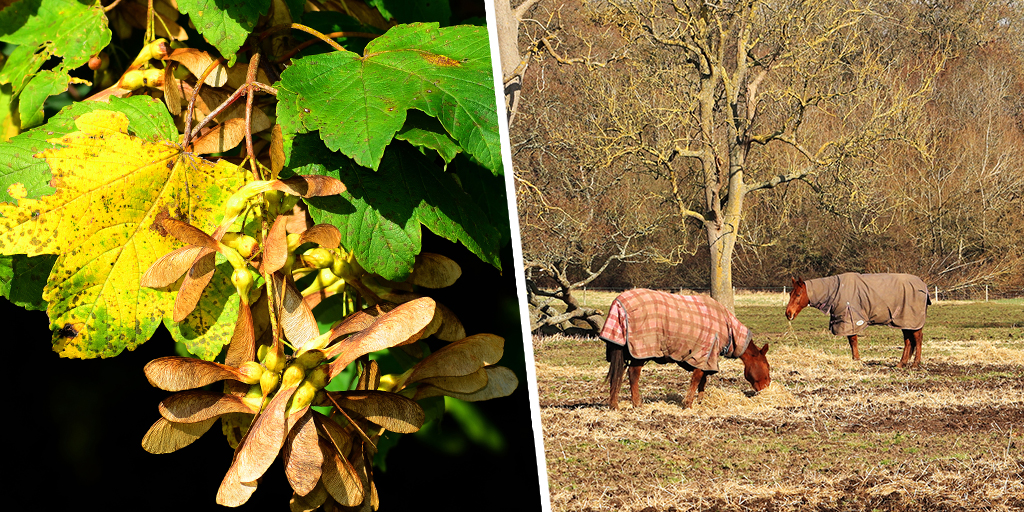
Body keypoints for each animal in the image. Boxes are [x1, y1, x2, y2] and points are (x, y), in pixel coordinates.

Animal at [598, 290, 770, 409]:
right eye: (767, 367)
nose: (767, 387)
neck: (727, 327)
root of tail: (618, 305)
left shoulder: (706, 358)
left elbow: (703, 380)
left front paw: (699, 400)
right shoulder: (705, 353)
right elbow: (697, 378)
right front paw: (688, 403)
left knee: (617, 375)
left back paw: (614, 405)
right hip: (639, 352)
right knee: (633, 376)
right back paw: (637, 403)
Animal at [786, 274, 933, 370]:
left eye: (798, 294)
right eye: (790, 294)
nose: (788, 313)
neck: (835, 290)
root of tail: (923, 286)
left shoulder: (851, 319)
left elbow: (853, 341)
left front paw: (856, 359)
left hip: (913, 321)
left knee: (917, 339)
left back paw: (915, 364)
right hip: (905, 322)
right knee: (908, 341)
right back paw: (901, 364)